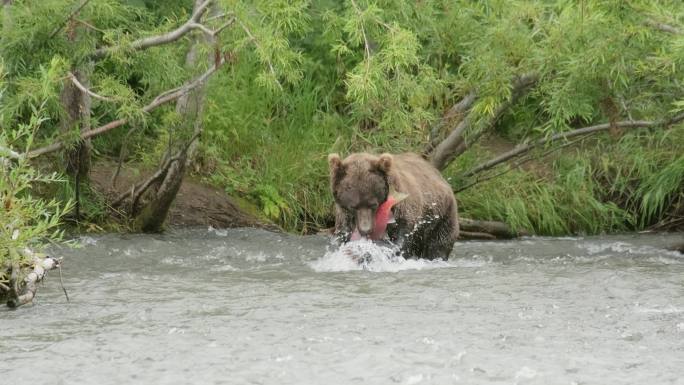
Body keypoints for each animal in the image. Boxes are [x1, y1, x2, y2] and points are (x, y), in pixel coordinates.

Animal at [328, 152, 460, 260]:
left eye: (373, 205)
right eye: (353, 206)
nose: (366, 230)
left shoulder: (402, 207)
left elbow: (403, 234)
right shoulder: (344, 216)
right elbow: (343, 235)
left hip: (441, 215)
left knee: (438, 244)